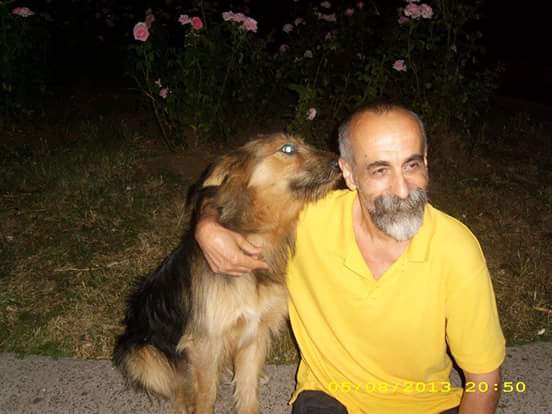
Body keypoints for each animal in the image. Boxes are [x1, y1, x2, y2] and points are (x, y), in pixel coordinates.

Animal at [113, 133, 342, 414]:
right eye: (288, 149)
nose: (338, 162)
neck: (259, 236)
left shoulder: (256, 331)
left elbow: (246, 388)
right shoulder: (204, 343)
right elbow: (205, 396)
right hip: (143, 355)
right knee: (176, 385)